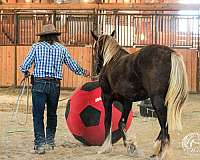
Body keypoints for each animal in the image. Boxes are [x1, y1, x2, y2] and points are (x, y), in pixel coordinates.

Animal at [91, 30, 188, 159]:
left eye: (94, 47)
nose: (97, 70)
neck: (111, 61)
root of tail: (170, 52)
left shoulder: (106, 97)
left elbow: (108, 121)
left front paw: (105, 147)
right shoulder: (127, 102)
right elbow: (121, 123)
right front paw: (130, 146)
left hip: (156, 100)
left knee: (163, 123)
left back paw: (161, 152)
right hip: (164, 100)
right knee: (165, 122)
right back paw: (157, 148)